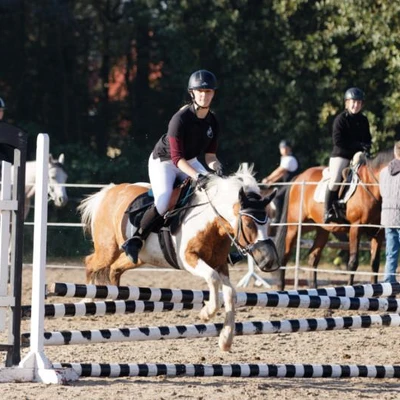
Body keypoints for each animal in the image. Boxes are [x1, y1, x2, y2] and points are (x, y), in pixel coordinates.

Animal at [77, 165, 278, 350]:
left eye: (268, 221)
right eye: (248, 223)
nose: (269, 261)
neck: (210, 221)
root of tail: (108, 191)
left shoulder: (220, 264)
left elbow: (230, 294)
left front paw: (226, 339)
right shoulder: (189, 258)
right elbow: (212, 278)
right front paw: (207, 312)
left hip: (139, 257)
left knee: (115, 268)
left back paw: (115, 298)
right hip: (107, 249)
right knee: (91, 263)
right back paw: (87, 300)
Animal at [270, 148, 392, 290]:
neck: (371, 185)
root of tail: (299, 178)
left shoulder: (378, 232)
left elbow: (375, 264)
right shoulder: (356, 228)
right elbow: (353, 263)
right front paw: (350, 287)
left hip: (322, 229)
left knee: (313, 257)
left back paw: (314, 288)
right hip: (295, 227)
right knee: (285, 255)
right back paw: (280, 287)